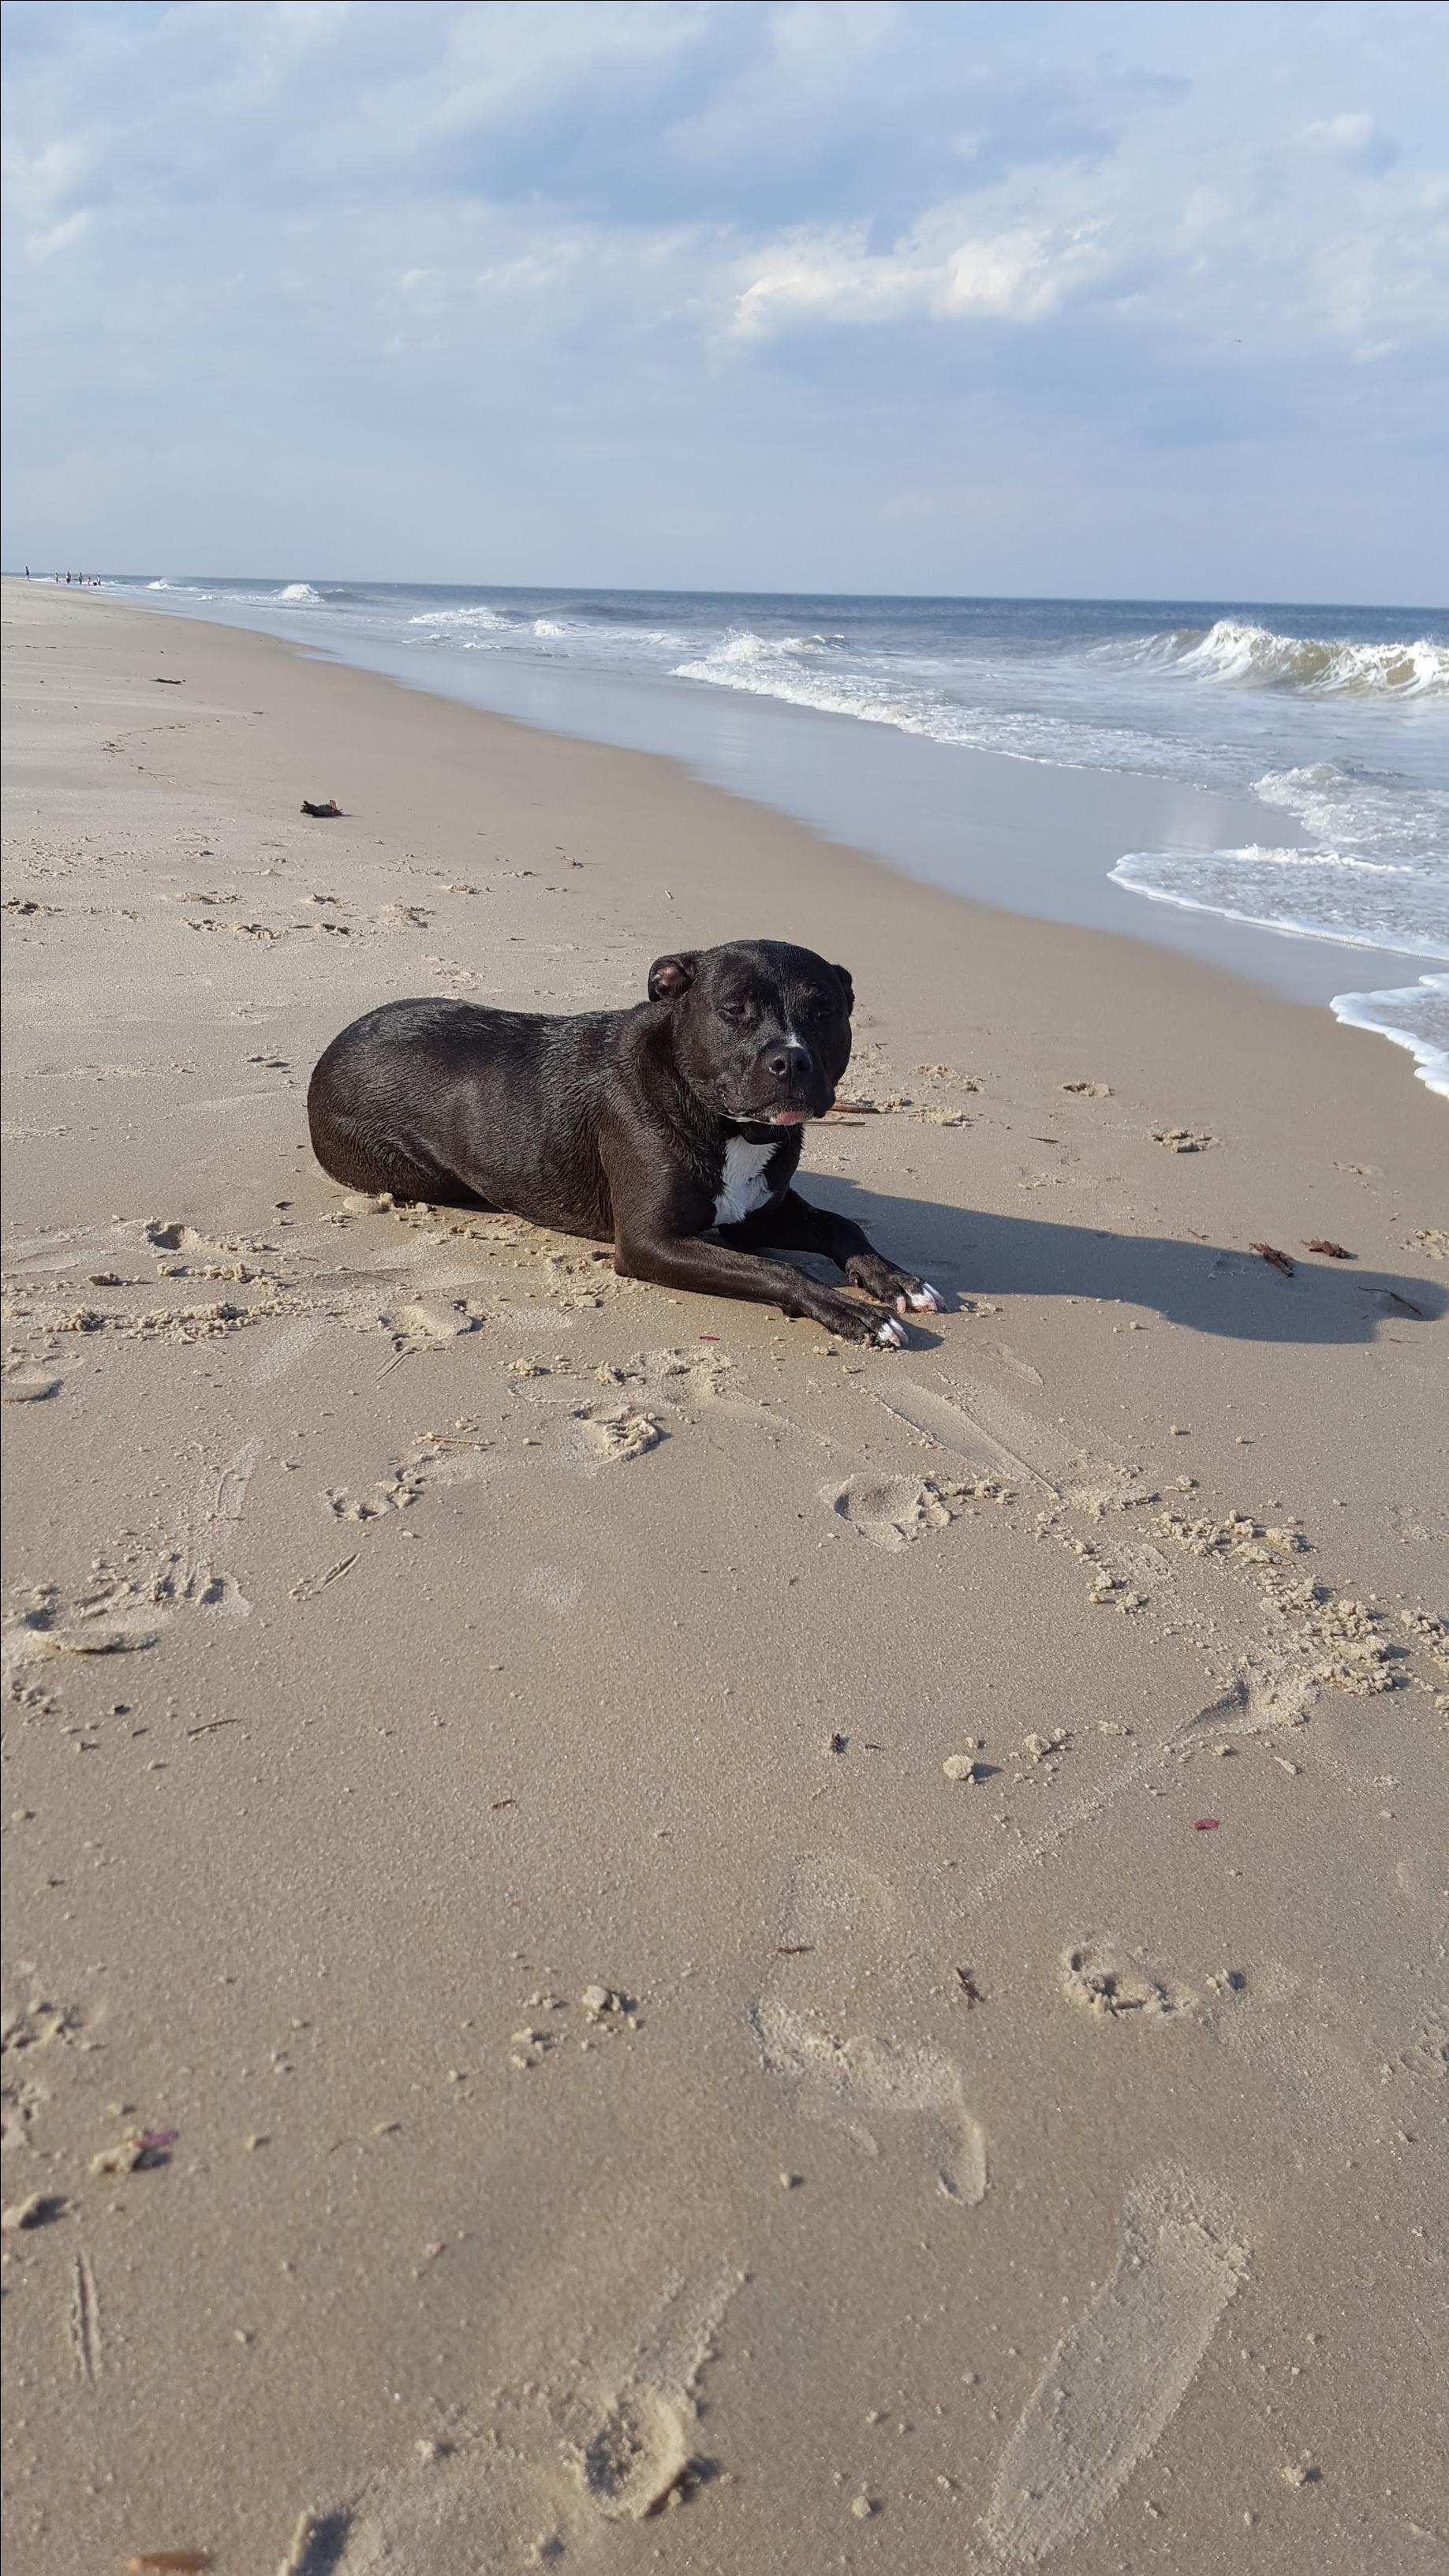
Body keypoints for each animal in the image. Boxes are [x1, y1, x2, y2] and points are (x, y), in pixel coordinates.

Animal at [308, 942, 942, 1349]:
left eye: (823, 1010)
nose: (791, 1061)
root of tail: (331, 1048)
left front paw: (897, 1280)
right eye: (733, 1009)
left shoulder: (757, 1214)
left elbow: (840, 1224)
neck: (727, 1124)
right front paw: (852, 1312)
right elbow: (779, 1270)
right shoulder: (650, 1243)